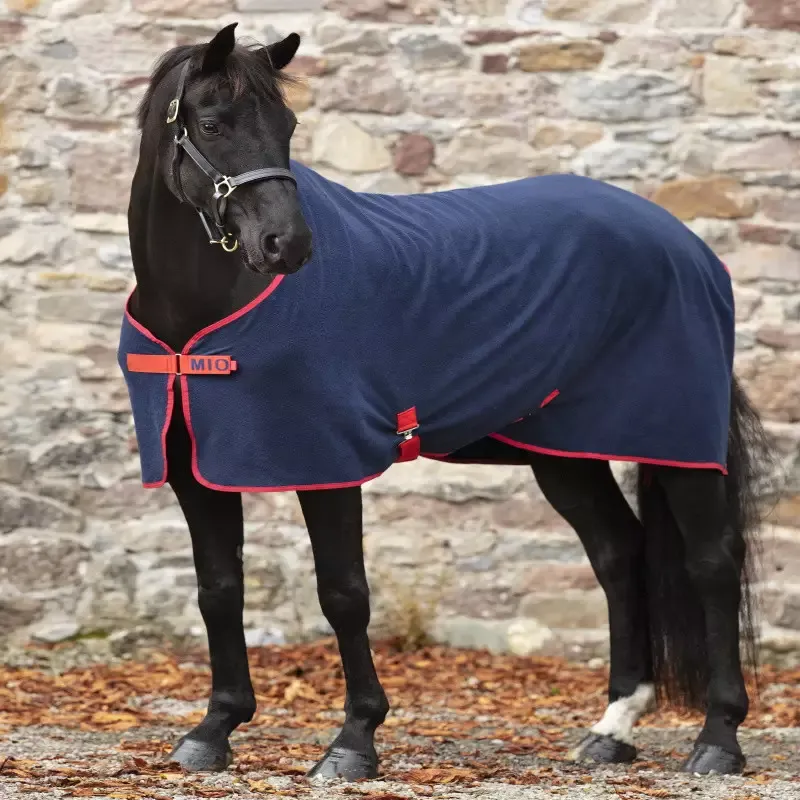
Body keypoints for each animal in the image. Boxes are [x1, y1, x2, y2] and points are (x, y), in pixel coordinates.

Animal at [120, 23, 773, 781]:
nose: (288, 245)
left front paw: (354, 740)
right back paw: (613, 725)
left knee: (712, 562)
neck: (202, 314)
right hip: (565, 454)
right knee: (618, 553)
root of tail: (689, 247)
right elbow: (219, 590)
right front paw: (214, 728)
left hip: (677, 441)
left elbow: (343, 594)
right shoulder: (194, 470)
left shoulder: (329, 461)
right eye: (214, 124)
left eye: (287, 127)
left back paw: (718, 738)